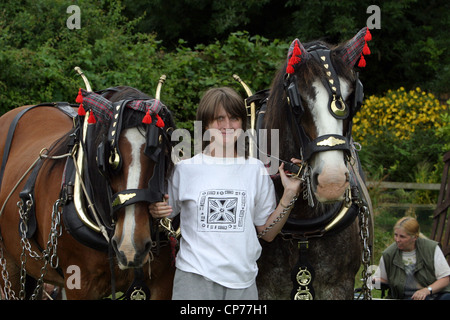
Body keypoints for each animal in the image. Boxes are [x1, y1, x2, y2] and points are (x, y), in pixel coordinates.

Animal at [0, 83, 176, 300]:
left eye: (160, 153)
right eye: (110, 160)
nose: (130, 246)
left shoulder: (163, 284)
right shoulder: (79, 285)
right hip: (10, 264)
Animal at [255, 27, 374, 300]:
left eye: (353, 99)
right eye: (297, 102)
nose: (331, 183)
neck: (303, 229)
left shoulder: (338, 286)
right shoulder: (265, 287)